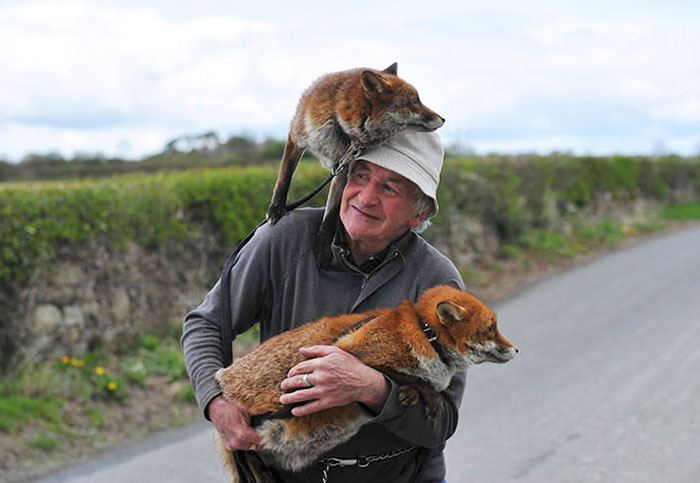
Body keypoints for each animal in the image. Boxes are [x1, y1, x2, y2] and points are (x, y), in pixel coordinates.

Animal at [214, 285, 517, 483]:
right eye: (491, 329)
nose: (517, 350)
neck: (423, 333)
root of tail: (224, 379)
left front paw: (411, 394)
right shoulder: (350, 353)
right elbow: (410, 379)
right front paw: (422, 396)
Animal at [265, 63, 445, 266]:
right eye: (415, 101)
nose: (443, 119)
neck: (341, 127)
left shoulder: (343, 167)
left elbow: (331, 213)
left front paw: (322, 246)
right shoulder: (296, 137)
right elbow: (284, 178)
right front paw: (276, 208)